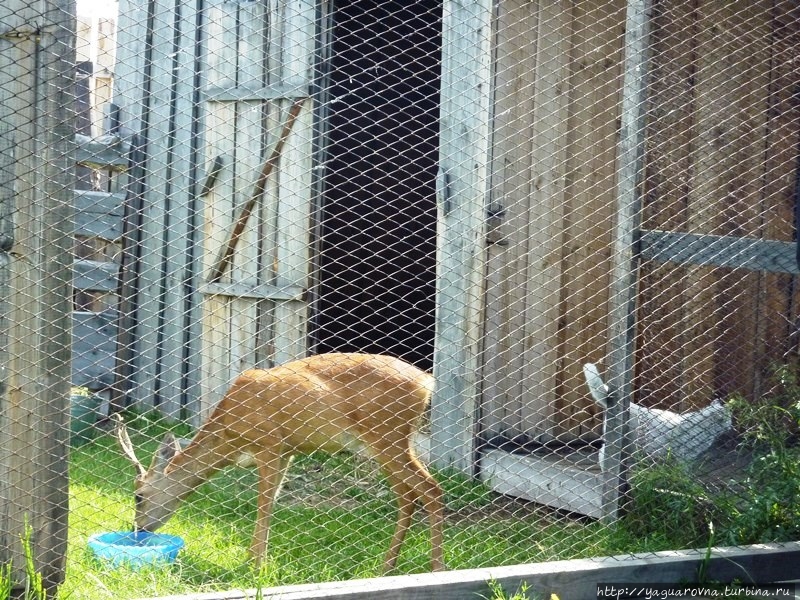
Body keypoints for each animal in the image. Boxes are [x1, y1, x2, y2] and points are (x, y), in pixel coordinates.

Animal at [115, 352, 446, 572]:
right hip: (386, 443)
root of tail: (427, 381)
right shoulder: (288, 451)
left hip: (387, 434)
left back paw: (436, 568)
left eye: (138, 495)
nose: (138, 529)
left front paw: (256, 565)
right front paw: (253, 559)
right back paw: (386, 567)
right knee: (407, 497)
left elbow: (264, 505)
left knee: (430, 489)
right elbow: (272, 501)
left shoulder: (270, 444)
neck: (229, 435)